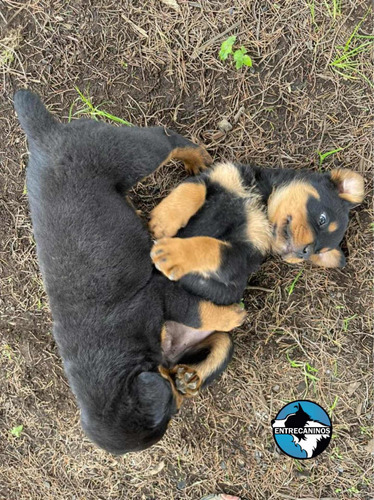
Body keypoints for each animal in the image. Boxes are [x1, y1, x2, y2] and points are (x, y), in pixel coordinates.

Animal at [13, 90, 245, 454]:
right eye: (169, 411)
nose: (177, 391)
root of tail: (43, 135)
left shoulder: (154, 295)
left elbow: (196, 309)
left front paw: (234, 314)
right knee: (219, 349)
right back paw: (190, 377)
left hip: (126, 153)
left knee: (166, 138)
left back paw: (198, 158)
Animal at [150, 160, 366, 304]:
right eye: (322, 219)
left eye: (318, 252)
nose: (305, 253)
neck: (261, 203)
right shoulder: (221, 176)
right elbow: (192, 189)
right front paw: (162, 221)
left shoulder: (241, 257)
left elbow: (211, 248)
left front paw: (171, 254)